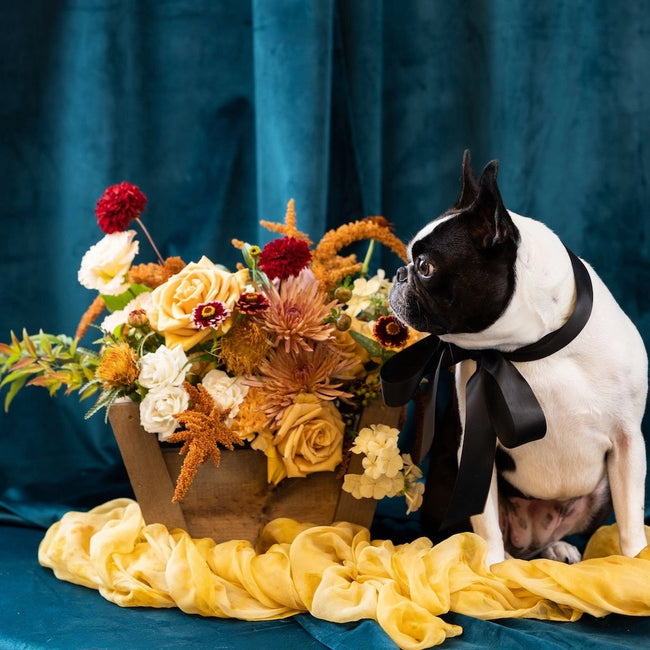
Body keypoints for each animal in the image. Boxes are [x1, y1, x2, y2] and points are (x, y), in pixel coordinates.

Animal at [389, 151, 648, 565]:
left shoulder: (627, 443)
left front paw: (635, 562)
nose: (400, 273)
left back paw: (555, 548)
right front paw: (492, 567)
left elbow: (631, 518)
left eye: (425, 267)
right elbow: (486, 520)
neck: (532, 348)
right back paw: (507, 559)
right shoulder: (477, 444)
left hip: (597, 496)